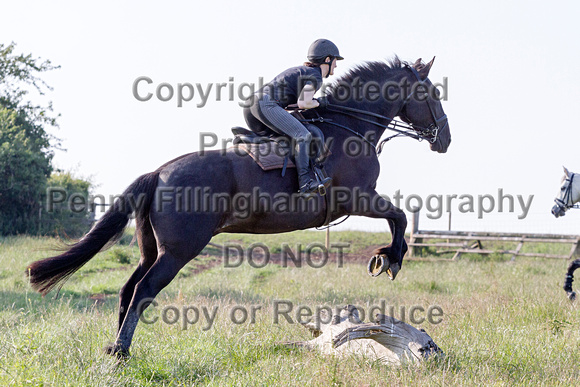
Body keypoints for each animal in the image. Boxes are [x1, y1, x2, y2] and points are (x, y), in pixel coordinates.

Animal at [27, 56, 450, 356]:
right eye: (432, 94)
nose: (444, 140)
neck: (350, 127)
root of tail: (159, 172)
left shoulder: (361, 198)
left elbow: (398, 216)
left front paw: (386, 257)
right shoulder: (357, 196)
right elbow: (398, 215)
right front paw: (390, 259)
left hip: (152, 248)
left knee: (128, 288)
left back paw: (114, 348)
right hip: (179, 250)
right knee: (144, 289)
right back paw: (121, 351)